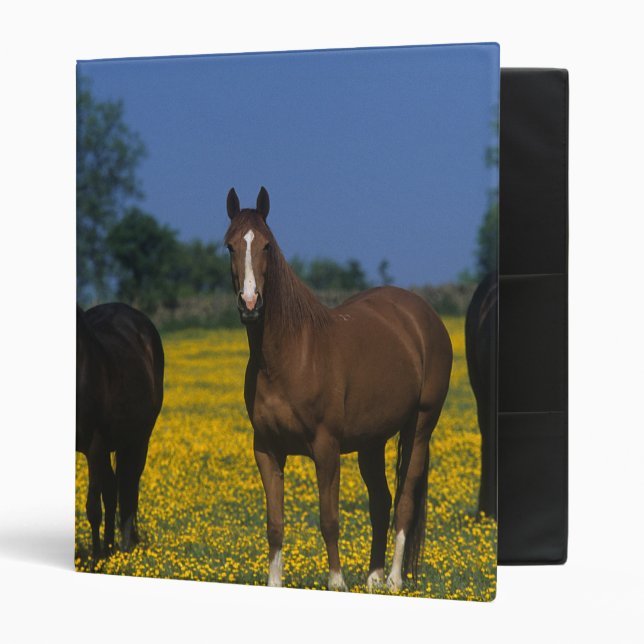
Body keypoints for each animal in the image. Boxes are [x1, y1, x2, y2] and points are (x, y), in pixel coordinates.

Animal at [76, 303, 164, 559]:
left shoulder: (94, 445)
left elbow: (93, 507)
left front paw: (95, 560)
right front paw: (100, 554)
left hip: (137, 439)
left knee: (128, 486)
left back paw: (123, 546)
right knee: (113, 489)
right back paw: (110, 547)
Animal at [223, 187, 453, 591]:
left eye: (267, 245)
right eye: (230, 246)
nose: (250, 303)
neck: (288, 356)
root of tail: (423, 316)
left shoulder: (326, 447)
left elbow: (329, 519)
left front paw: (336, 582)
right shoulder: (266, 450)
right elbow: (275, 523)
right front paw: (275, 582)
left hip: (420, 428)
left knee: (405, 500)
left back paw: (394, 579)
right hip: (372, 442)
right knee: (381, 502)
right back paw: (374, 578)